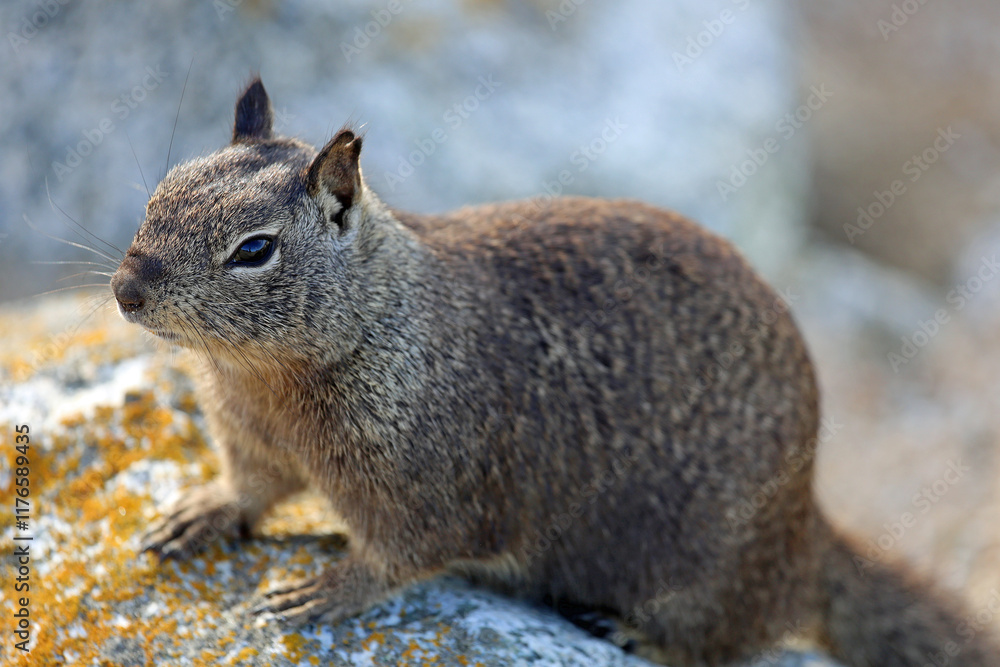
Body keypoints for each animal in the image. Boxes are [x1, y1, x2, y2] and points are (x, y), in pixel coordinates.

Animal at [111, 78, 1000, 666]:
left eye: (254, 249)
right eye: (157, 196)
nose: (126, 289)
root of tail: (807, 529)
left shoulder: (427, 487)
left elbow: (403, 555)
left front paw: (324, 587)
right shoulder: (252, 435)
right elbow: (252, 486)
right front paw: (199, 510)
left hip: (711, 573)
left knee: (727, 637)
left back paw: (637, 630)